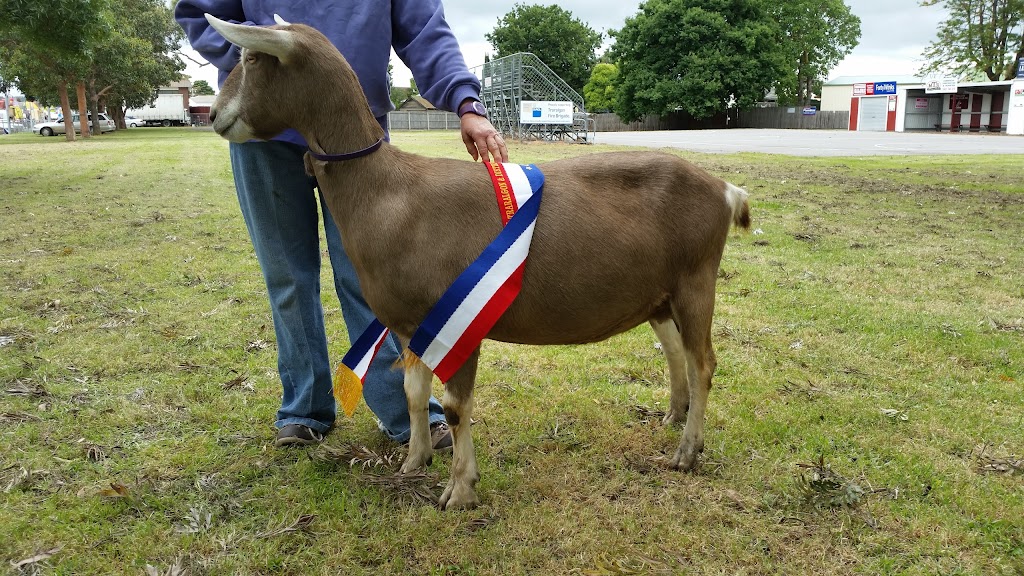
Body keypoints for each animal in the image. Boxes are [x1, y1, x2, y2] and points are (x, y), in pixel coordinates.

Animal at [203, 14, 749, 506]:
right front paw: (414, 461)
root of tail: (725, 190)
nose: (213, 116)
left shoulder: (457, 325)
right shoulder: (412, 324)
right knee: (676, 352)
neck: (388, 192)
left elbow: (455, 405)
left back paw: (687, 451)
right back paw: (673, 416)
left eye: (252, 58)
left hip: (697, 282)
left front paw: (459, 490)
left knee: (703, 362)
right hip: (660, 295)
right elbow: (414, 391)